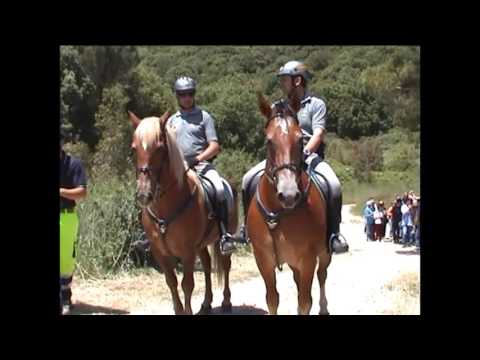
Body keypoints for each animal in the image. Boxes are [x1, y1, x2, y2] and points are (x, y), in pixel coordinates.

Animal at [128, 110, 239, 316]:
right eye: (134, 148)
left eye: (160, 148)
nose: (144, 194)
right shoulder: (161, 253)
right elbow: (171, 282)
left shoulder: (187, 252)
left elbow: (187, 284)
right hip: (201, 245)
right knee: (207, 265)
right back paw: (206, 304)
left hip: (225, 238)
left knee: (226, 265)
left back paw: (226, 302)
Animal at [246, 93, 332, 316]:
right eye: (268, 141)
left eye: (301, 139)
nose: (289, 194)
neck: (277, 214)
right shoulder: (263, 260)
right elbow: (272, 299)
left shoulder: (308, 258)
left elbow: (305, 302)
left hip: (323, 254)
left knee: (322, 275)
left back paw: (324, 308)